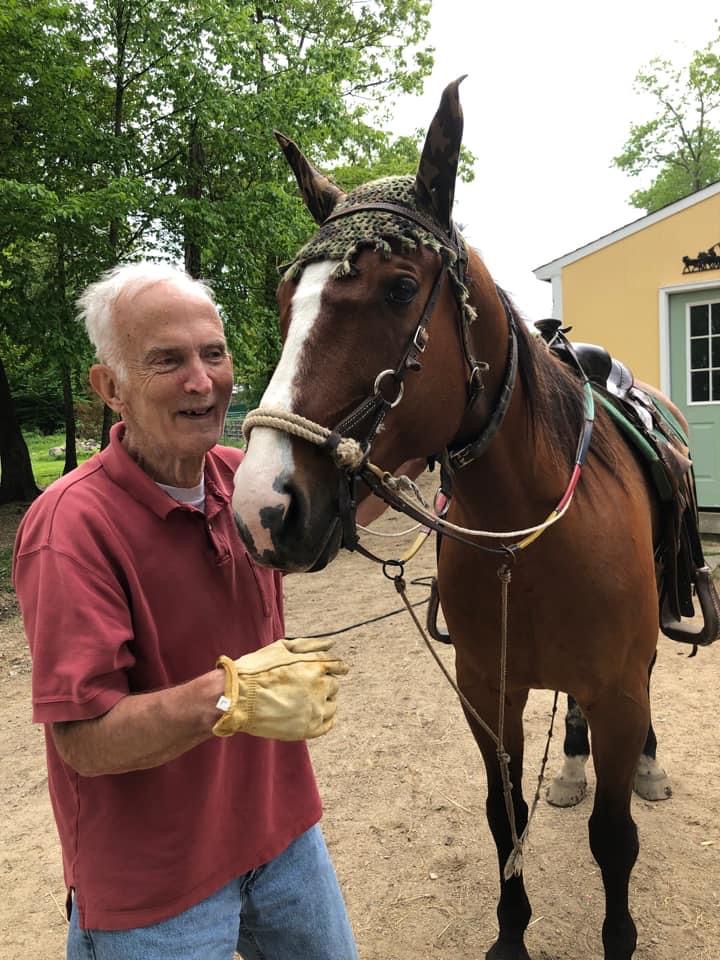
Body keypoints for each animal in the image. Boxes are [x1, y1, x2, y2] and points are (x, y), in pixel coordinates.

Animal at [231, 79, 715, 959]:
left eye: (397, 288)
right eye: (287, 301)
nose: (263, 505)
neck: (528, 540)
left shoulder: (619, 690)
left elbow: (613, 838)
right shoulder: (488, 691)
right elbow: (503, 815)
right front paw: (510, 934)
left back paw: (649, 764)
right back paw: (572, 765)